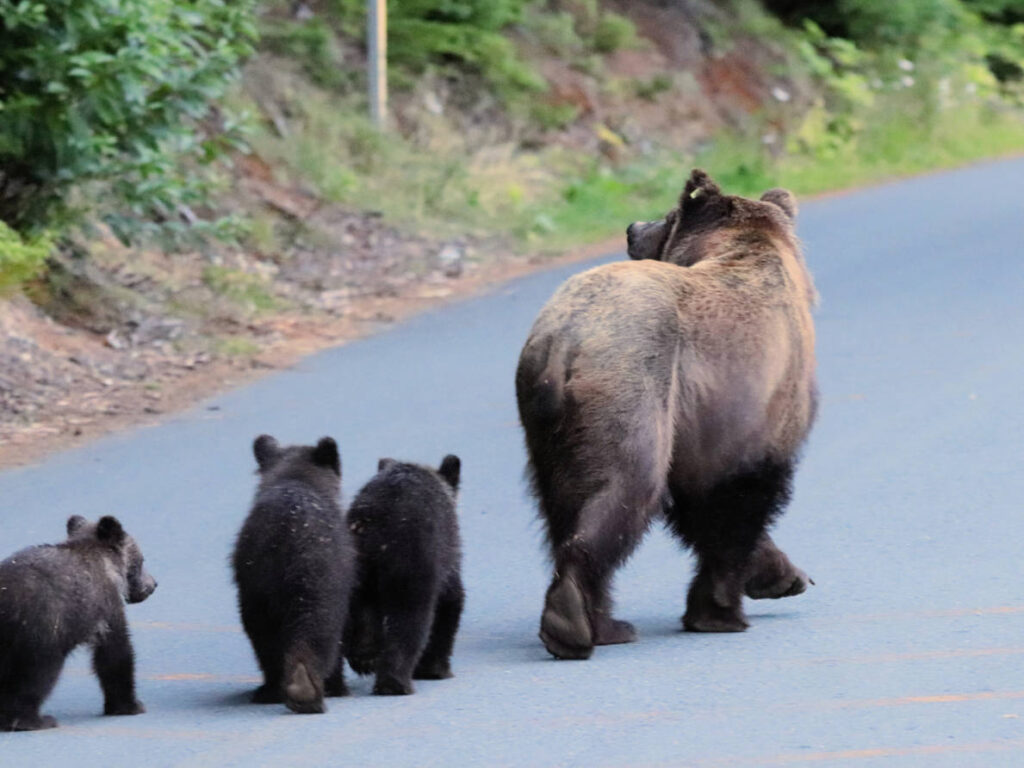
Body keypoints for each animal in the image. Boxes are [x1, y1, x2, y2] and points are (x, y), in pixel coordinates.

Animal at [0, 515, 157, 731]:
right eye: (142, 561)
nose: (153, 585)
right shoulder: (106, 606)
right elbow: (115, 652)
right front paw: (130, 705)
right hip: (40, 628)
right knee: (36, 675)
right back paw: (33, 720)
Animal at [232, 434, 356, 714]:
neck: (296, 478)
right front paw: (338, 685)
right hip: (320, 581)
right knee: (320, 629)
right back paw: (307, 688)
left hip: (257, 588)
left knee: (262, 636)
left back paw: (277, 688)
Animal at [345, 455, 464, 695]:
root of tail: (366, 523)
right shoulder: (446, 554)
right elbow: (450, 603)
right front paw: (436, 669)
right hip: (410, 561)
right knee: (409, 620)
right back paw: (395, 683)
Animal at [516, 169, 817, 660]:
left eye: (666, 214)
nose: (633, 227)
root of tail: (563, 340)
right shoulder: (753, 401)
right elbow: (738, 495)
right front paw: (721, 610)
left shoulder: (698, 421)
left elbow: (699, 499)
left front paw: (782, 574)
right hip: (633, 389)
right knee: (623, 489)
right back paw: (578, 622)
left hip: (549, 427)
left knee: (562, 504)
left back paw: (601, 622)